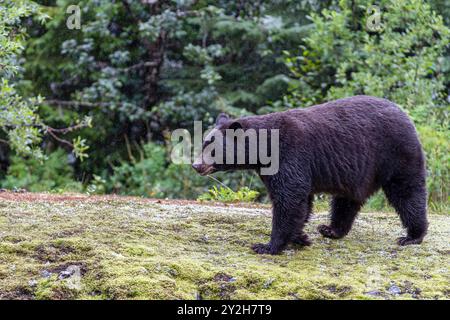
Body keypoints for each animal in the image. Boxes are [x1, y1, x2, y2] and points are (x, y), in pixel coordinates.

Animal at [192, 95, 428, 255]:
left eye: (212, 148)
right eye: (204, 143)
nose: (196, 165)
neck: (265, 148)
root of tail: (404, 115)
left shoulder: (290, 154)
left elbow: (289, 198)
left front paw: (267, 245)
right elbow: (300, 202)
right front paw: (301, 237)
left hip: (396, 153)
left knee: (407, 192)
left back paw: (412, 236)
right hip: (356, 172)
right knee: (346, 201)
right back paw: (331, 229)